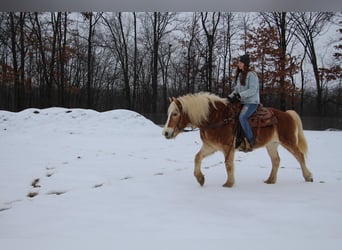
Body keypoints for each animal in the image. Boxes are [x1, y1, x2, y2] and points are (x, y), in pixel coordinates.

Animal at [162, 92, 314, 188]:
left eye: (175, 114)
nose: (166, 133)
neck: (216, 118)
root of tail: (287, 114)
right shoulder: (211, 146)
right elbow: (197, 157)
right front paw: (200, 178)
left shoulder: (227, 147)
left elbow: (228, 165)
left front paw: (229, 183)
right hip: (271, 144)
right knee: (276, 160)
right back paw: (271, 180)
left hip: (288, 141)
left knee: (299, 156)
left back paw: (308, 177)